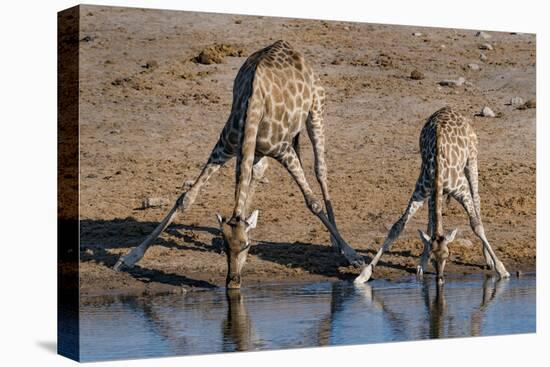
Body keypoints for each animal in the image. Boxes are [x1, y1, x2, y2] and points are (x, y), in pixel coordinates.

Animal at [114, 39, 364, 288]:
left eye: (247, 246)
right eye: (227, 247)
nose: (232, 282)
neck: (252, 108)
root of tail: (288, 45)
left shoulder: (283, 151)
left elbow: (313, 203)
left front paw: (353, 255)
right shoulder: (225, 148)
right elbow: (186, 198)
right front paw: (129, 258)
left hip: (316, 110)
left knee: (320, 169)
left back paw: (336, 241)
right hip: (257, 150)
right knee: (258, 172)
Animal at [356, 106, 512, 284]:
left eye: (448, 255)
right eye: (433, 257)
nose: (440, 279)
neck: (438, 169)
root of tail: (449, 108)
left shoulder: (462, 191)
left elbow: (476, 225)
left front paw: (502, 269)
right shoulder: (422, 192)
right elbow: (398, 227)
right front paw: (364, 274)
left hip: (472, 160)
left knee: (477, 198)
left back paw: (488, 259)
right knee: (433, 217)